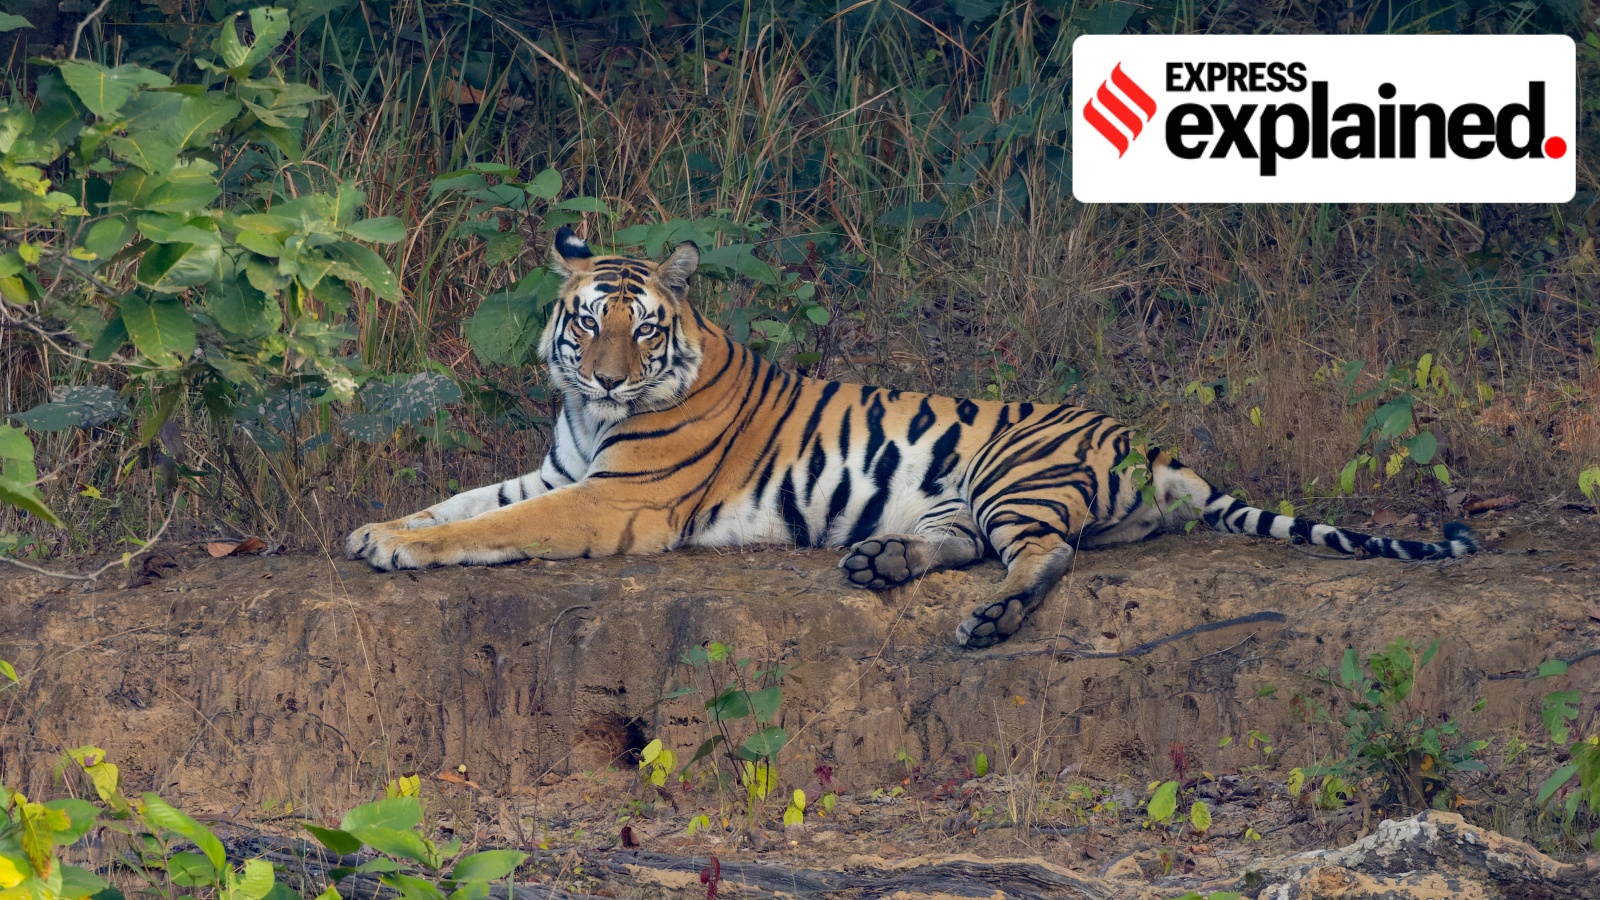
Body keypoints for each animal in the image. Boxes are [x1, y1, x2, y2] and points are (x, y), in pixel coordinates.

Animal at [346, 228, 1480, 649]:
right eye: (586, 322)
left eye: (644, 327)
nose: (610, 374)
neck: (587, 417)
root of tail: (1154, 446)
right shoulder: (557, 468)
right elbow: (463, 502)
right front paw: (377, 527)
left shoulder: (613, 497)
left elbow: (487, 528)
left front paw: (396, 546)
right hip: (966, 495)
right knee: (967, 543)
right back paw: (880, 561)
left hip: (1017, 476)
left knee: (1044, 557)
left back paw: (989, 619)